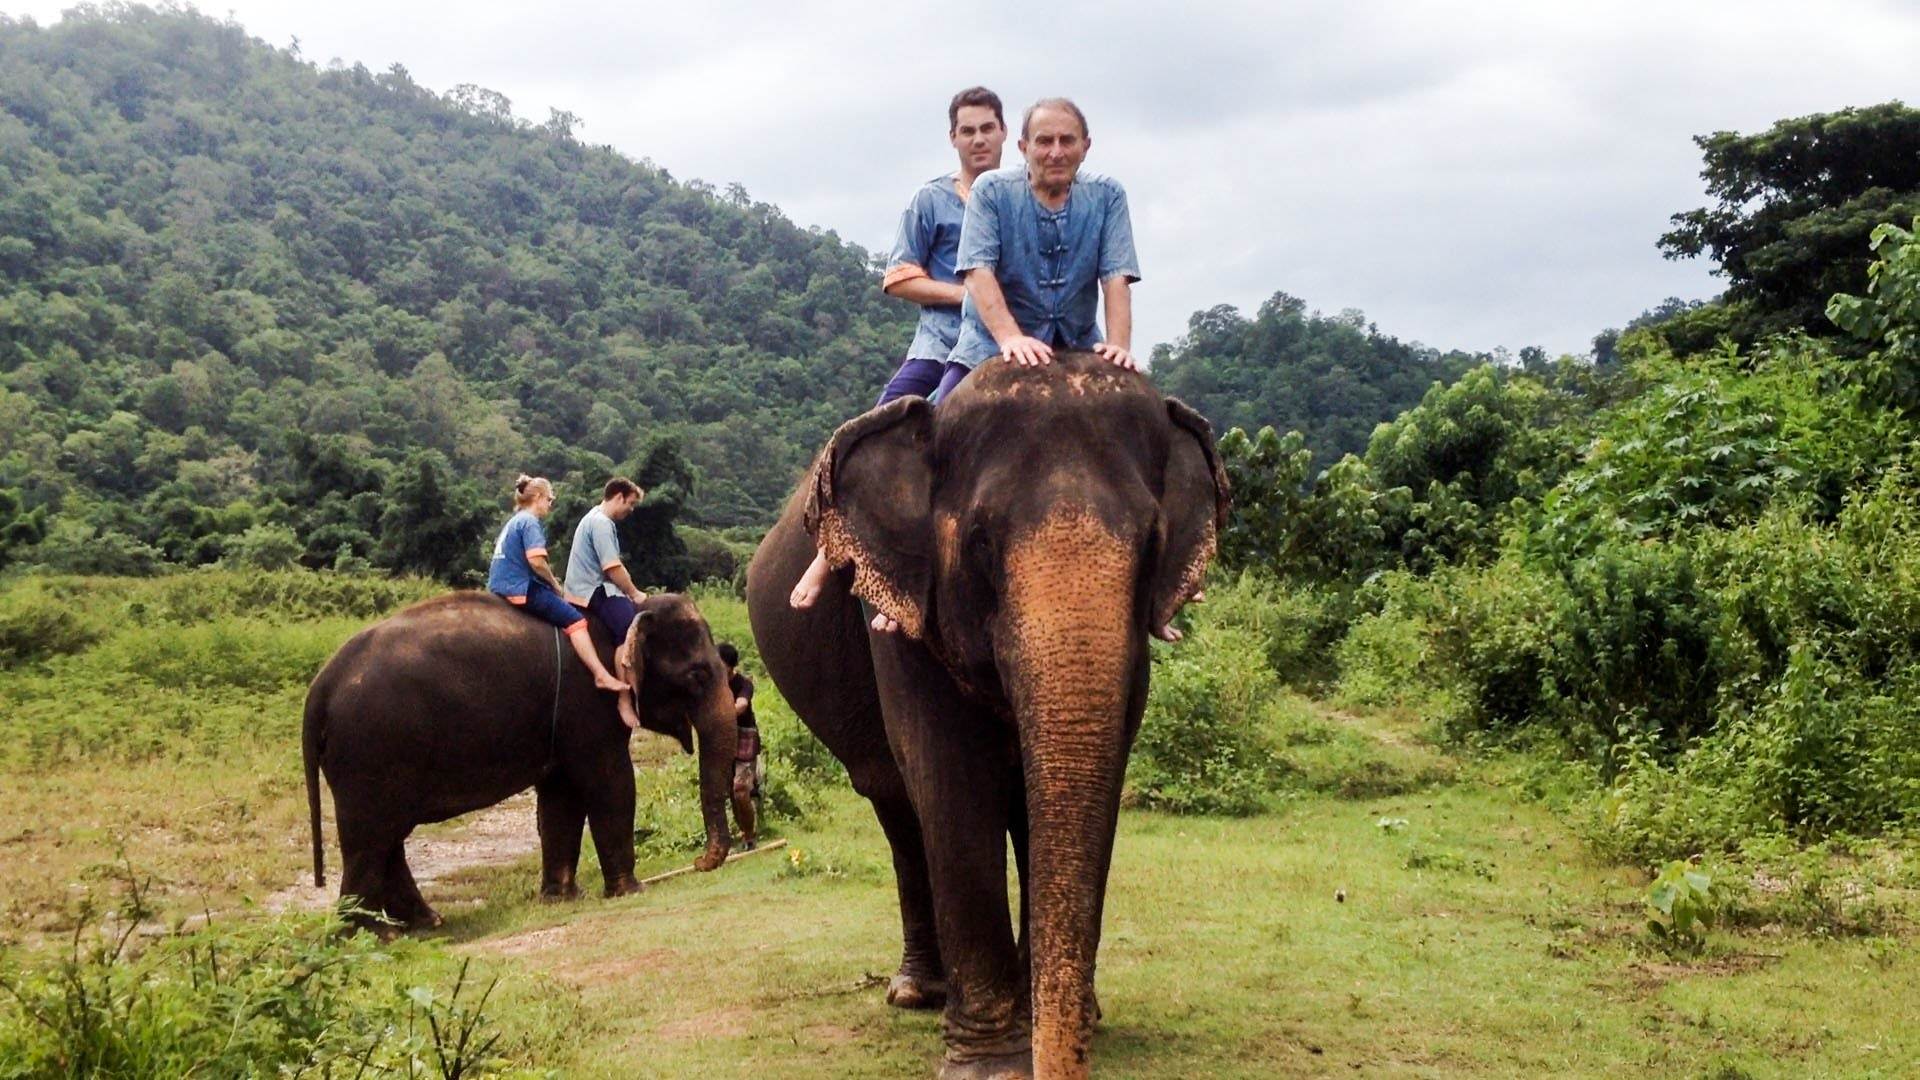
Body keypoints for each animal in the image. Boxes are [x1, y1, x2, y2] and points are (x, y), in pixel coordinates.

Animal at [302, 591, 738, 929]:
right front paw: (630, 890)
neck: (628, 611)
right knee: (371, 838)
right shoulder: (590, 702)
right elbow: (610, 781)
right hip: (370, 754)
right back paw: (378, 935)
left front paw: (561, 898)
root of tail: (320, 689)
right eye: (697, 675)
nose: (700, 862)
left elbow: (561, 796)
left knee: (387, 836)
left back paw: (425, 923)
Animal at [746, 351, 1227, 1080]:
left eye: (1153, 545)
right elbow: (952, 779)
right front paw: (992, 1064)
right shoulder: (897, 614)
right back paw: (917, 992)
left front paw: (1064, 1020)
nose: (1062, 1062)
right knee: (896, 802)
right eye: (979, 541)